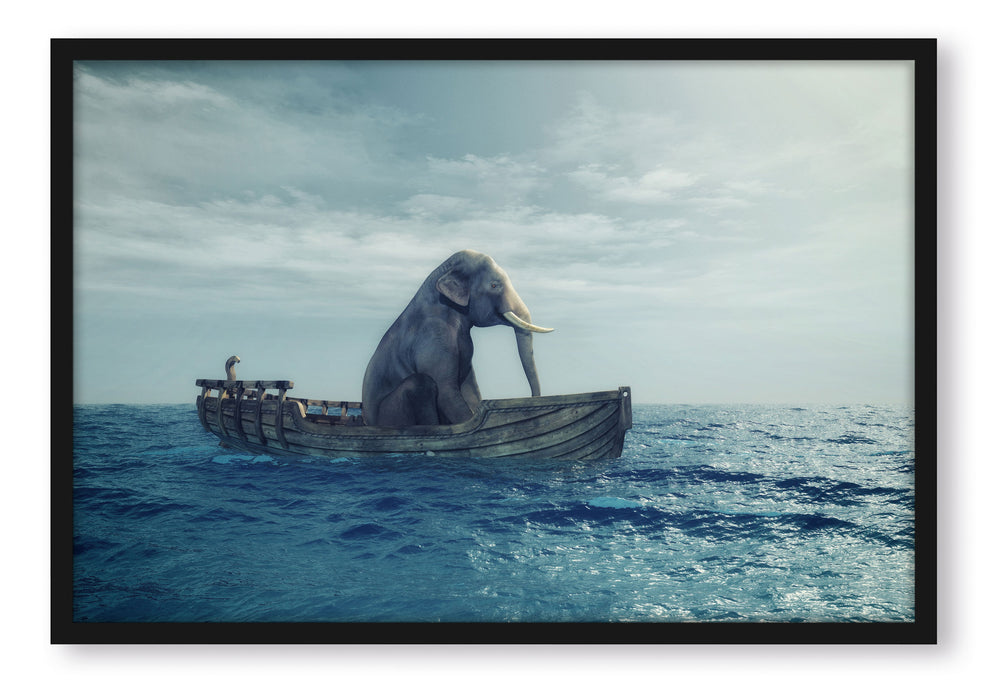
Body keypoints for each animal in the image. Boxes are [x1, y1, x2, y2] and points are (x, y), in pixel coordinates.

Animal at [361, 250, 553, 427]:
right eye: (493, 285)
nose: (533, 399)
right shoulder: (433, 337)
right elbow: (446, 391)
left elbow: (470, 388)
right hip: (390, 414)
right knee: (421, 382)